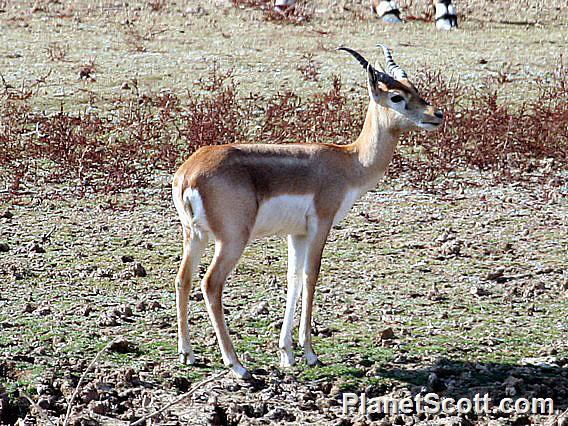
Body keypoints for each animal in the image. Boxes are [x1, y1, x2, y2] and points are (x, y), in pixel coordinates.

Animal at [171, 45, 446, 378]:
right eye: (396, 97)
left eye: (414, 89)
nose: (437, 115)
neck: (348, 162)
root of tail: (189, 173)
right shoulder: (320, 224)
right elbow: (311, 275)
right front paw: (310, 353)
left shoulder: (296, 233)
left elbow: (293, 279)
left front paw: (286, 353)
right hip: (232, 240)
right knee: (211, 284)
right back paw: (237, 365)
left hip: (194, 235)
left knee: (183, 279)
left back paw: (187, 353)